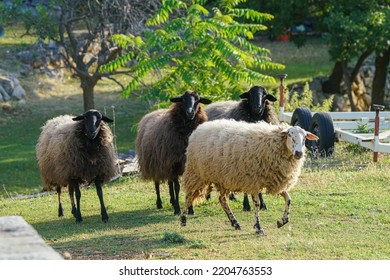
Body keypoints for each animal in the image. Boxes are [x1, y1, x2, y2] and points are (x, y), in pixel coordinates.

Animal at [181, 119, 318, 235]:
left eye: (305, 138)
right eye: (290, 135)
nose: (299, 153)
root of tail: (200, 128)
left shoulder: (274, 180)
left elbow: (288, 199)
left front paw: (282, 221)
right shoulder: (254, 181)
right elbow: (257, 204)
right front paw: (258, 227)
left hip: (223, 178)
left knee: (222, 200)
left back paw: (235, 223)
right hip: (196, 173)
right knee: (189, 195)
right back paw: (183, 220)